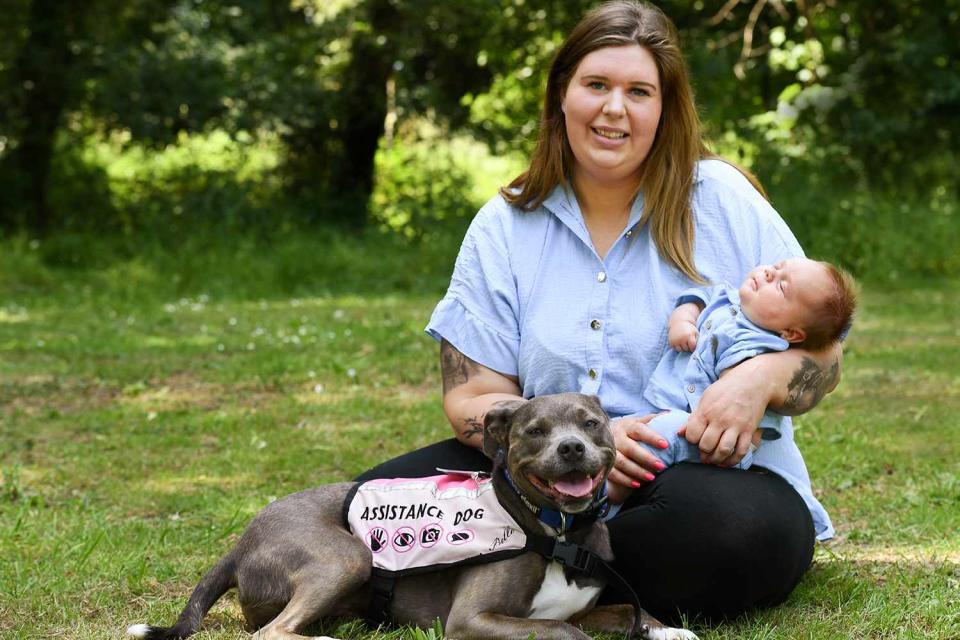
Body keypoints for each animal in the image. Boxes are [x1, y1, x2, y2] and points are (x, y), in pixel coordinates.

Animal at [127, 392, 696, 636]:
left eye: (591, 422)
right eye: (535, 431)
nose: (572, 448)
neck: (558, 532)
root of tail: (240, 542)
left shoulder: (582, 607)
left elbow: (634, 614)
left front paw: (670, 631)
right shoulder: (474, 620)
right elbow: (566, 633)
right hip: (345, 557)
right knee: (271, 634)